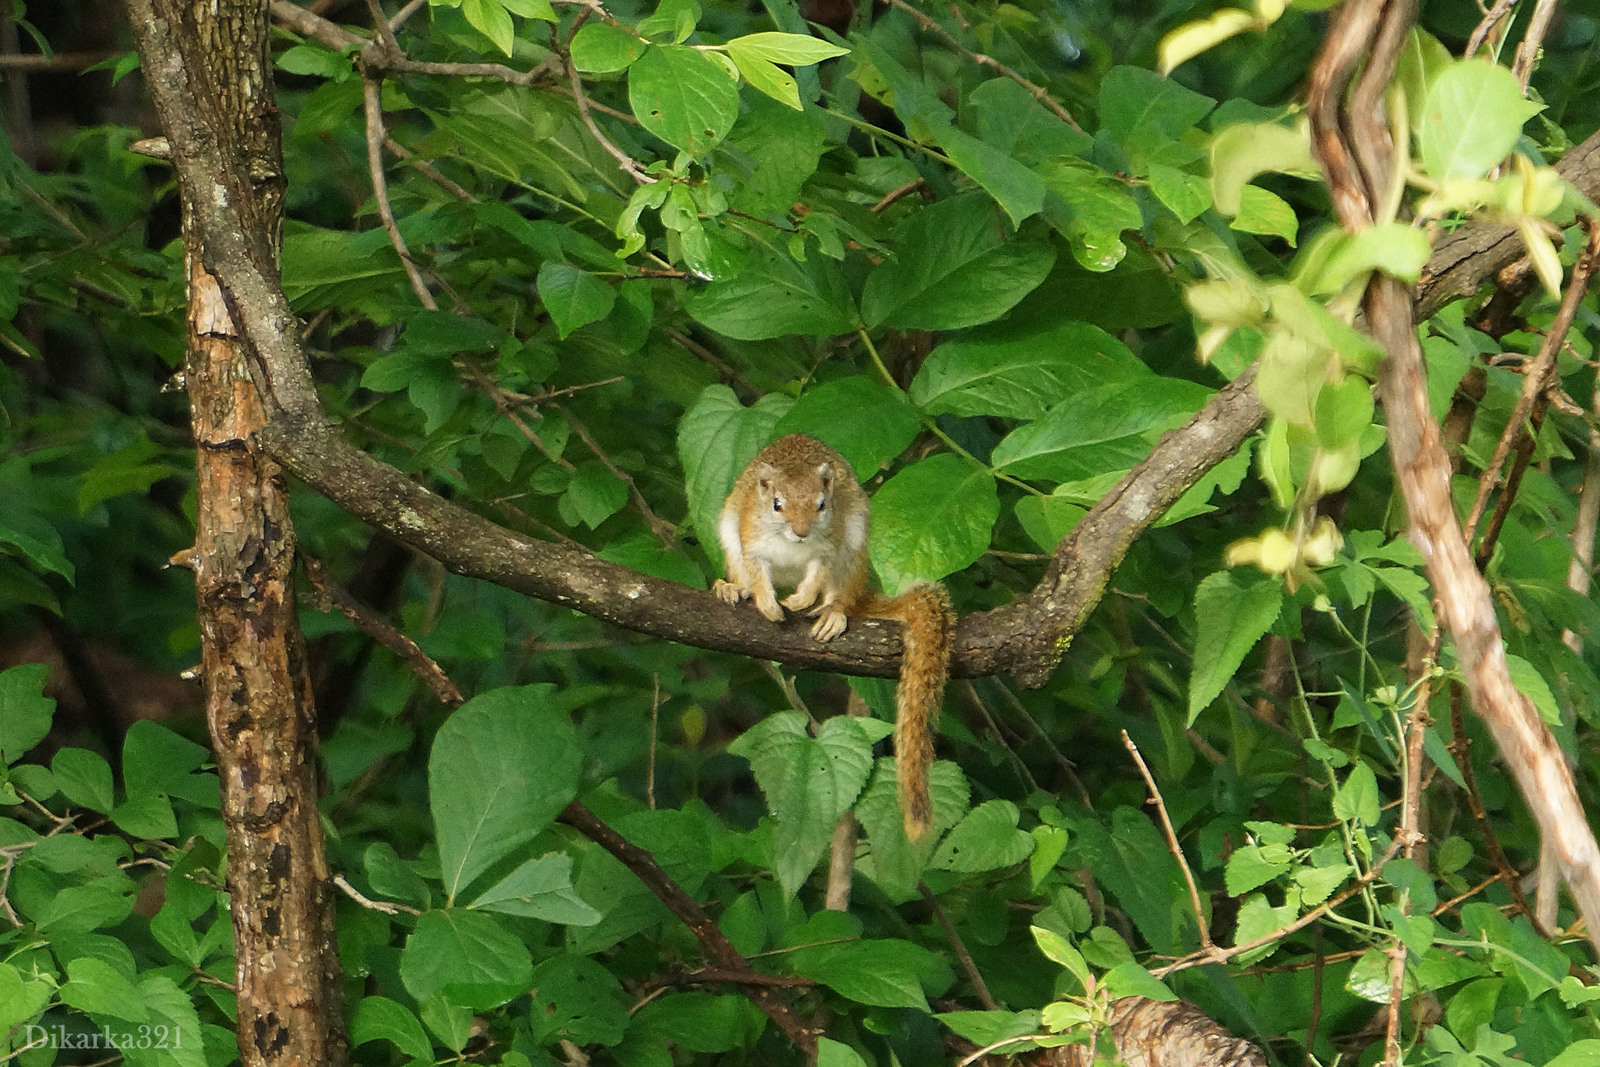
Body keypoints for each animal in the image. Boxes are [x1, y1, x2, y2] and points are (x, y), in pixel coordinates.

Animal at [713, 435, 947, 844]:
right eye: (776, 504)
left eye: (821, 504)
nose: (802, 531)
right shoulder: (751, 539)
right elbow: (758, 573)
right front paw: (766, 602)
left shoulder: (829, 547)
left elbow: (817, 574)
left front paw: (802, 600)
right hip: (729, 531)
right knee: (743, 573)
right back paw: (733, 589)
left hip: (854, 548)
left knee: (841, 593)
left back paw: (832, 613)